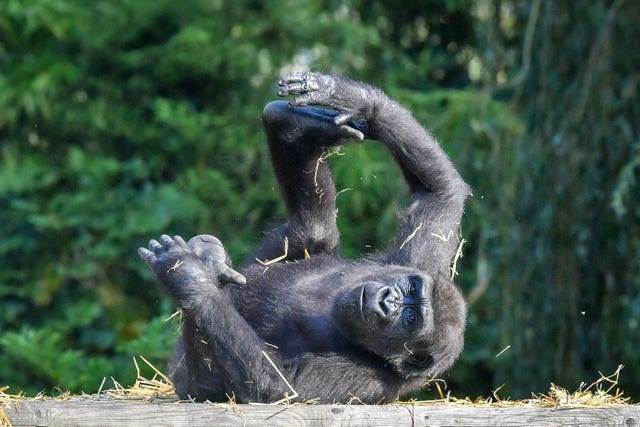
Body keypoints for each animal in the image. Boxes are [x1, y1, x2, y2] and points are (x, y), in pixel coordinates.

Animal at [139, 71, 470, 404]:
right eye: (410, 290)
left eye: (410, 320)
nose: (387, 301)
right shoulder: (417, 258)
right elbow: (441, 191)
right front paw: (349, 97)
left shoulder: (372, 380)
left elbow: (279, 386)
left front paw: (188, 277)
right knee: (313, 231)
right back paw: (298, 129)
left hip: (186, 378)